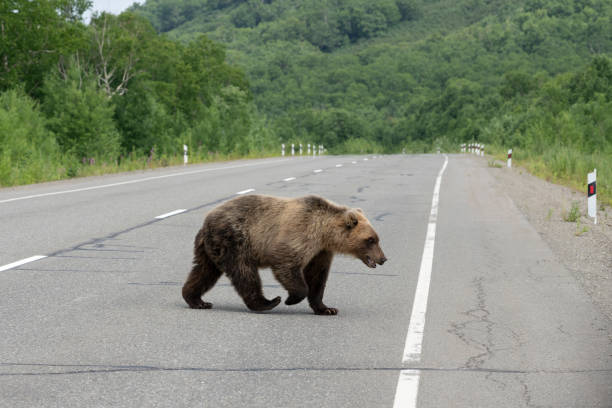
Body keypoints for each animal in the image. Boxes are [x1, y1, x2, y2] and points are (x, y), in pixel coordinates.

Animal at [179, 194, 388, 316]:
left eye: (377, 238)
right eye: (371, 239)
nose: (383, 259)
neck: (324, 232)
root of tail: (206, 221)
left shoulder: (320, 251)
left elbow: (317, 277)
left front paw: (327, 308)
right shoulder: (300, 233)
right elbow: (287, 263)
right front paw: (291, 298)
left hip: (211, 249)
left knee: (204, 271)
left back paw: (197, 300)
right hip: (234, 240)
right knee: (244, 272)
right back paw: (268, 302)